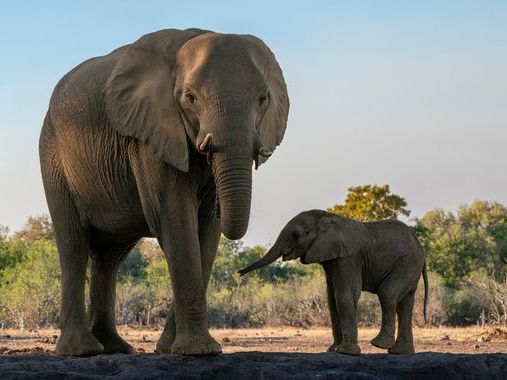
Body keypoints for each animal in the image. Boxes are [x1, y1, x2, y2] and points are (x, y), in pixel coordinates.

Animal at [39, 29, 290, 356]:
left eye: (263, 99)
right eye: (190, 98)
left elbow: (206, 231)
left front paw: (172, 349)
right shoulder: (149, 136)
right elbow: (175, 217)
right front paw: (198, 351)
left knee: (109, 257)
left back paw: (116, 348)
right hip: (53, 157)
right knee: (74, 243)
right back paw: (82, 351)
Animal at [239, 209, 428, 354]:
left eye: (296, 235)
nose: (239, 273)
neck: (327, 219)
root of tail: (420, 247)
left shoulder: (348, 257)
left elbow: (344, 295)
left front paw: (346, 352)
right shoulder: (331, 257)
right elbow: (331, 299)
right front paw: (333, 350)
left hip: (407, 263)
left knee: (388, 293)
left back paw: (379, 344)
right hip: (410, 267)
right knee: (405, 304)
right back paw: (401, 352)